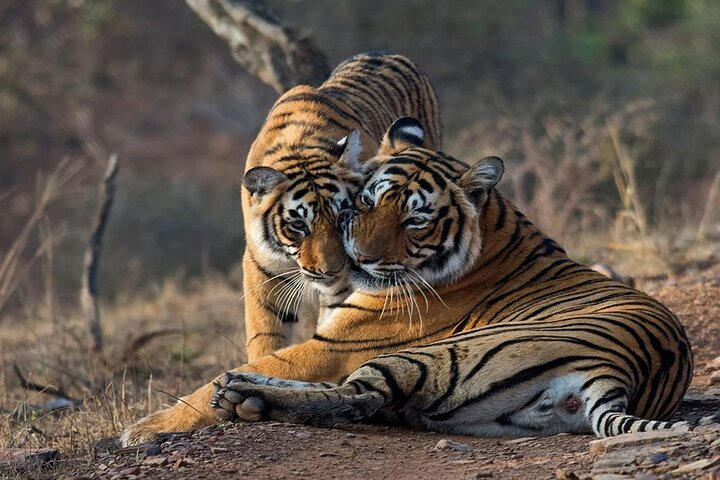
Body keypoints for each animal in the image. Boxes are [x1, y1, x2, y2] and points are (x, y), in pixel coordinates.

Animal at [122, 117, 692, 446]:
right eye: (366, 202)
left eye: (415, 219)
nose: (356, 258)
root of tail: (619, 374)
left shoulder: (340, 342)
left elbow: (265, 365)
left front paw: (142, 429)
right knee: (365, 401)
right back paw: (244, 395)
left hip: (436, 354)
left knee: (358, 397)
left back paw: (241, 395)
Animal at [239, 52, 442, 362]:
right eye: (298, 225)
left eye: (343, 216)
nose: (331, 271)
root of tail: (384, 53)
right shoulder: (264, 271)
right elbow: (267, 337)